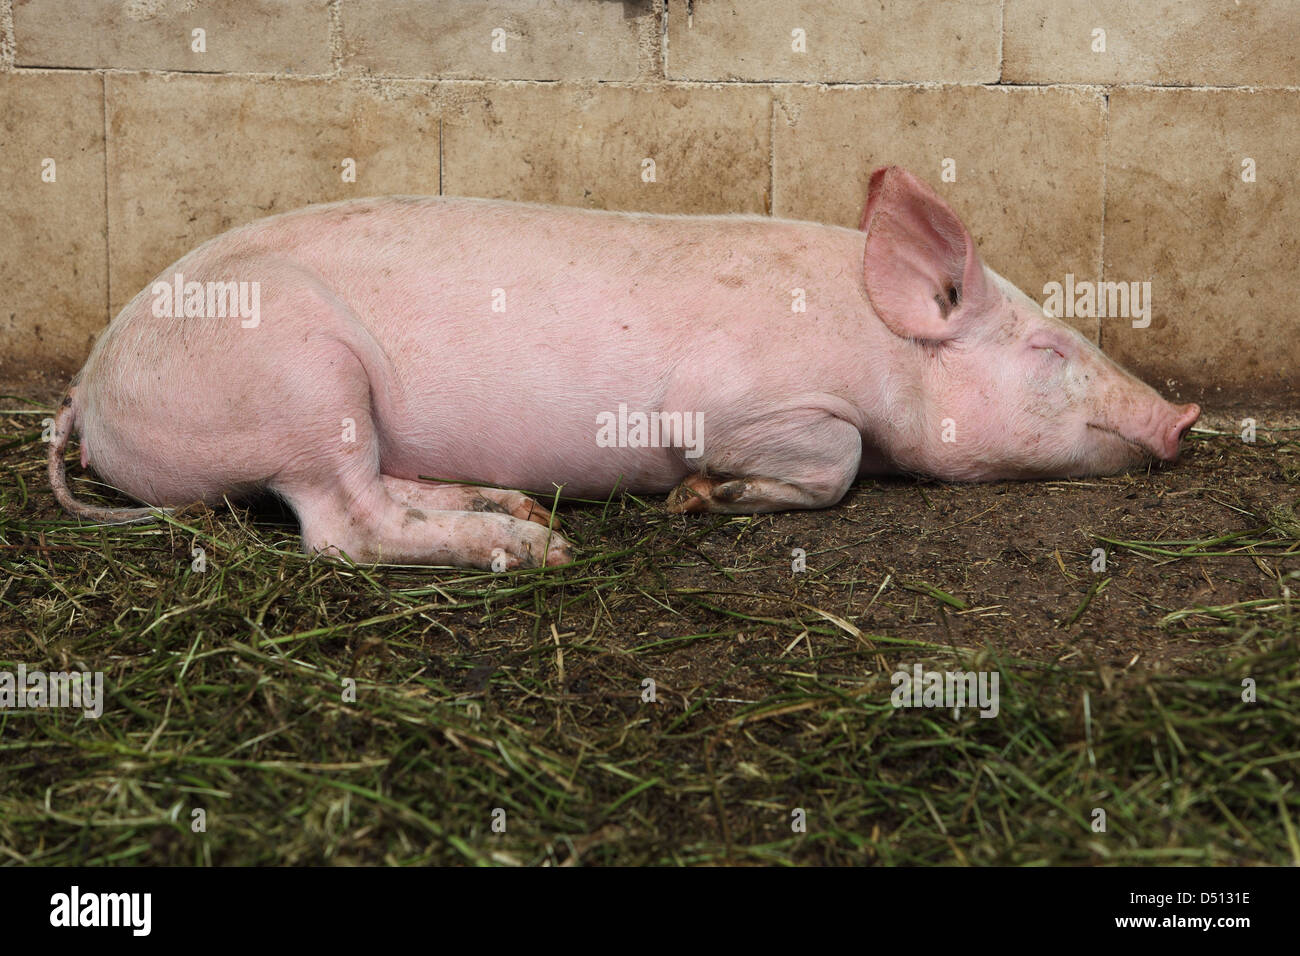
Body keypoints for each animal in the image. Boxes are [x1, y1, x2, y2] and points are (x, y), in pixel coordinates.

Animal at [48, 165, 1206, 572]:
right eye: (1050, 348)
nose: (1184, 417)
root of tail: (87, 392)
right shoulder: (740, 398)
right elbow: (831, 458)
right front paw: (700, 496)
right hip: (299, 376)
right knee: (339, 528)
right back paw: (535, 551)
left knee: (376, 491)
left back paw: (515, 508)